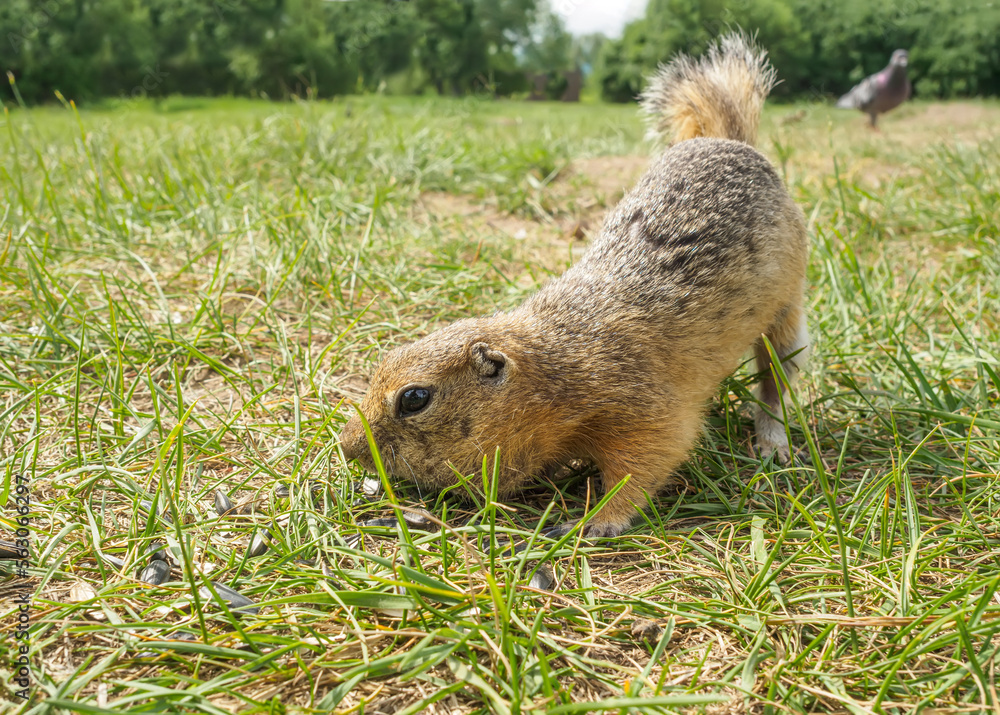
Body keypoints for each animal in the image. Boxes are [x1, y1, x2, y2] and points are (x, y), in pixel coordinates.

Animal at [340, 33, 808, 536]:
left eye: (415, 399)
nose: (345, 446)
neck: (557, 369)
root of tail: (728, 139)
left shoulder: (643, 411)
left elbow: (645, 467)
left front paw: (592, 523)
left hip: (787, 313)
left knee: (775, 382)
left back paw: (772, 442)